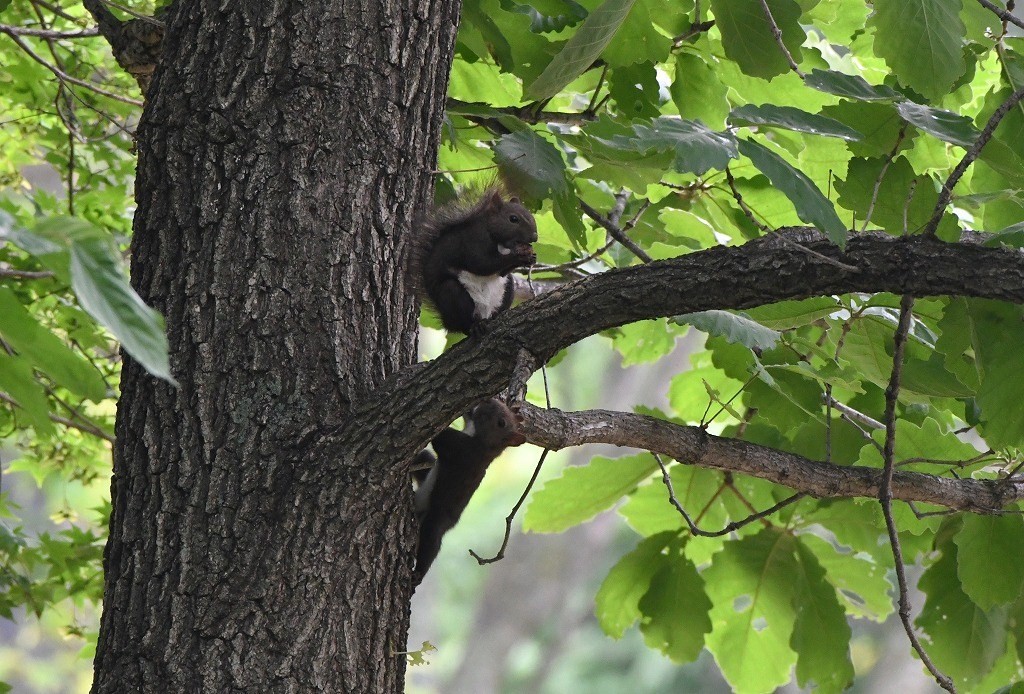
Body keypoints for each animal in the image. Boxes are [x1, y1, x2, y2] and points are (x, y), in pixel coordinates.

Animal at [409, 399, 524, 585]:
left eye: (501, 423)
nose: (489, 400)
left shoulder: (462, 449)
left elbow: (440, 437)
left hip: (436, 521)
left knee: (431, 542)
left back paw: (417, 574)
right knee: (423, 458)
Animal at [411, 187, 540, 333]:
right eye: (513, 218)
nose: (535, 237)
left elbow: (501, 272)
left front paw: (530, 258)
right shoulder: (472, 241)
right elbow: (481, 264)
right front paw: (519, 256)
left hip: (507, 289)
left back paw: (496, 316)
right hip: (452, 295)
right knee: (463, 323)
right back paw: (475, 326)